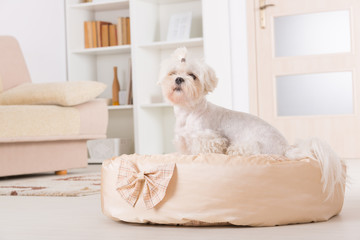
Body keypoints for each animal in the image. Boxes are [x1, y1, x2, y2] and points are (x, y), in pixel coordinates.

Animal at [160, 47, 346, 199]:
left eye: (193, 76)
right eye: (173, 73)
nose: (179, 79)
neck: (189, 112)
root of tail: (285, 148)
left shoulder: (209, 138)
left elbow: (206, 149)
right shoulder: (183, 139)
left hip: (245, 146)